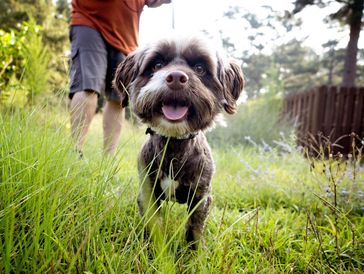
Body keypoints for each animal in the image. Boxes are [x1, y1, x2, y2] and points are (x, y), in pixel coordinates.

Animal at [114, 36, 245, 248]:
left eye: (200, 68)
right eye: (157, 65)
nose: (176, 77)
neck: (174, 145)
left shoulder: (201, 196)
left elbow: (194, 228)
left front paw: (195, 252)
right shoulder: (148, 193)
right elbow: (154, 224)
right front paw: (152, 248)